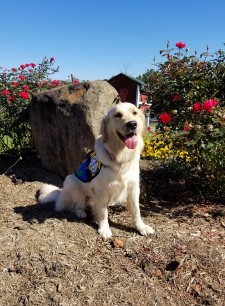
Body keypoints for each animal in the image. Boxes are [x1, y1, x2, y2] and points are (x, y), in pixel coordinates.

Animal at [38, 103, 155, 239]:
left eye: (135, 113)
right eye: (117, 115)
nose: (132, 124)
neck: (120, 157)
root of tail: (60, 194)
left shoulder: (133, 188)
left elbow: (136, 212)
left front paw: (141, 227)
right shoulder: (101, 190)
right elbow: (103, 213)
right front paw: (104, 229)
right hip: (71, 183)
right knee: (72, 206)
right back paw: (80, 212)